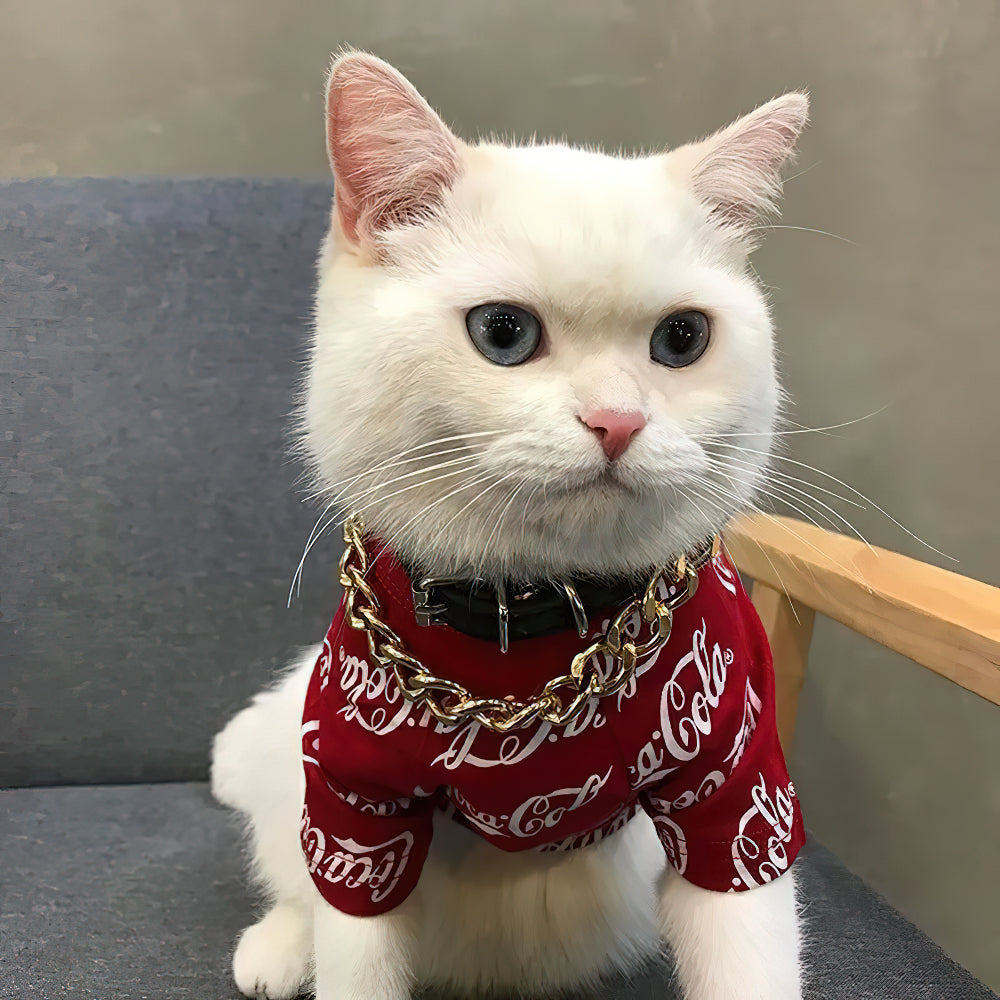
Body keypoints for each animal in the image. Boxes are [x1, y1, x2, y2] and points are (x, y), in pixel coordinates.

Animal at [211, 52, 804, 1000]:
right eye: (503, 332)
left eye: (682, 339)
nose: (616, 422)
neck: (532, 626)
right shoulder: (355, 806)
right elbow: (354, 940)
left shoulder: (737, 789)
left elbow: (747, 947)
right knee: (296, 876)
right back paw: (277, 949)